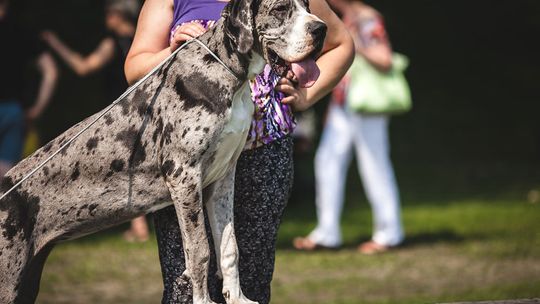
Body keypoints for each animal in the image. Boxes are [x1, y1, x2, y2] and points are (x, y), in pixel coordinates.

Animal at [0, 0, 324, 302]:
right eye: (280, 9)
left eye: (308, 6)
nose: (321, 29)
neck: (227, 73)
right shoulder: (184, 175)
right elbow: (199, 251)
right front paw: (204, 300)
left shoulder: (222, 178)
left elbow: (229, 246)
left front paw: (238, 298)